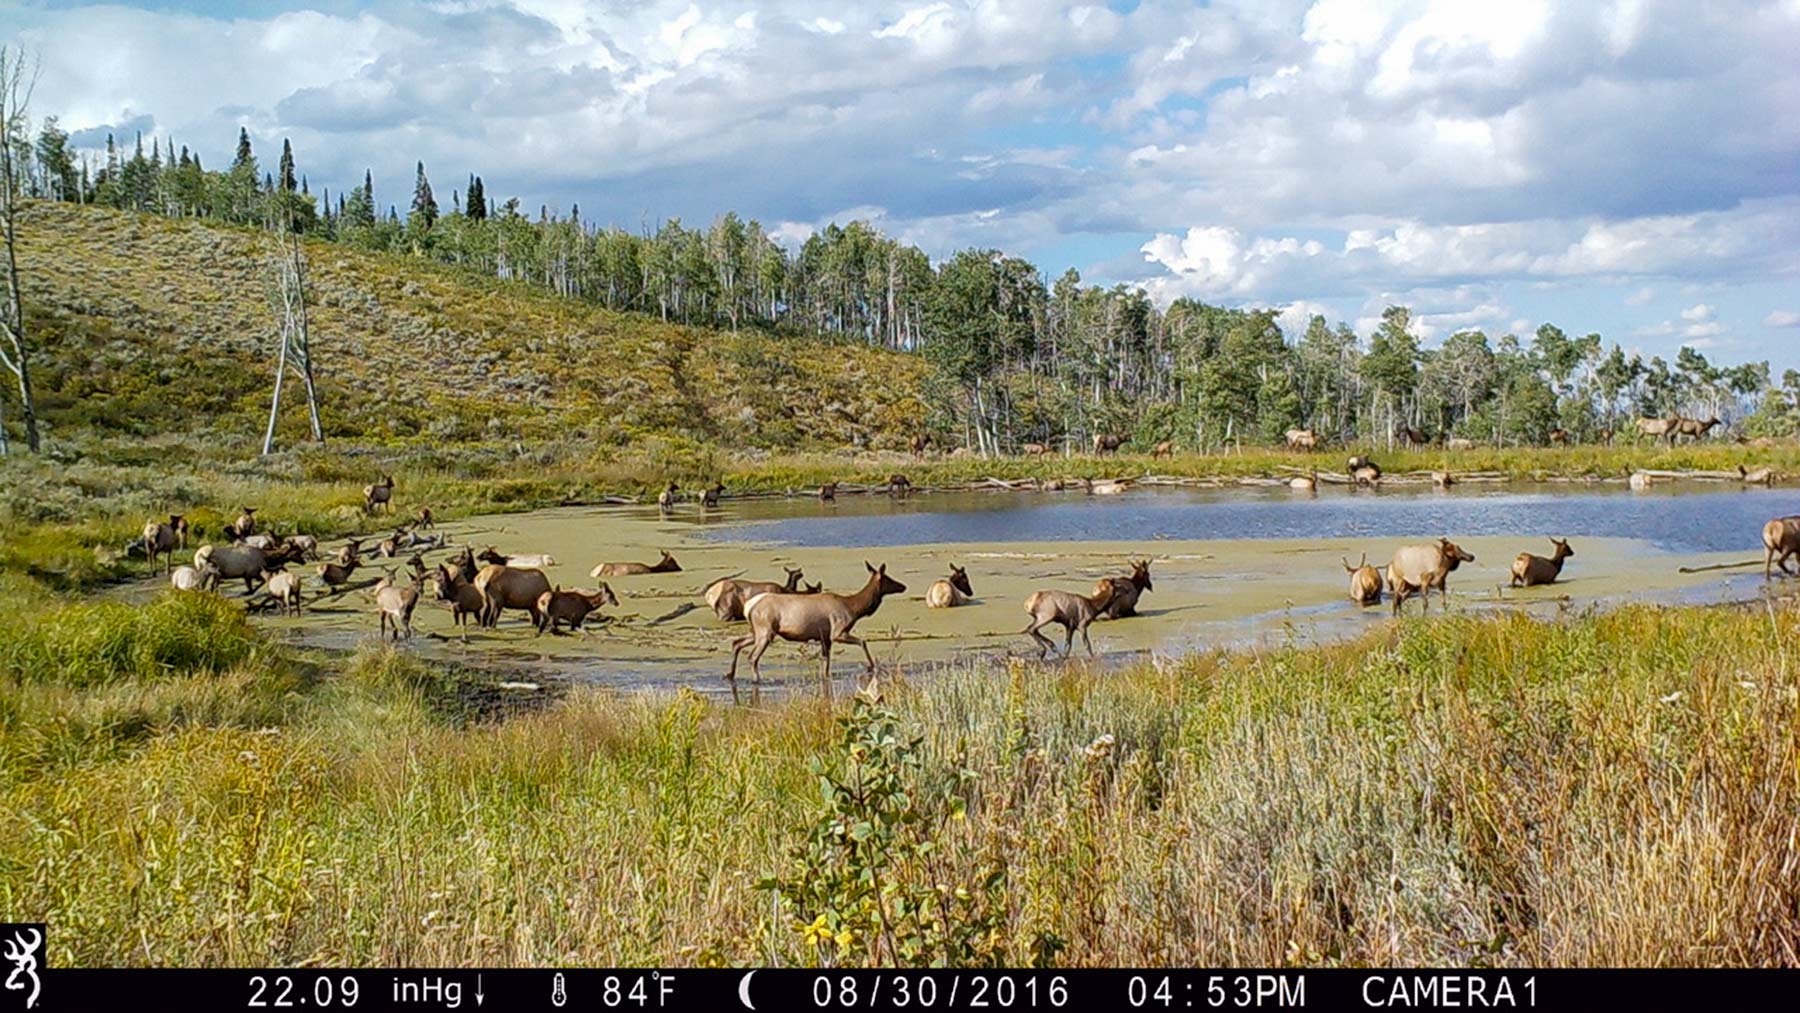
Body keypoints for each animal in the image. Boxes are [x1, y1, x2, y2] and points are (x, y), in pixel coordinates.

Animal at [726, 562, 907, 695]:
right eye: (889, 578)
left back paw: (730, 674)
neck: (854, 608)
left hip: (755, 631)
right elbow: (862, 642)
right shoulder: (837, 632)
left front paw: (826, 678)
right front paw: (871, 666)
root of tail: (748, 607)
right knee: (752, 656)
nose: (903, 586)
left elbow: (825, 660)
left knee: (736, 643)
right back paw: (756, 680)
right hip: (765, 631)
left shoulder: (824, 637)